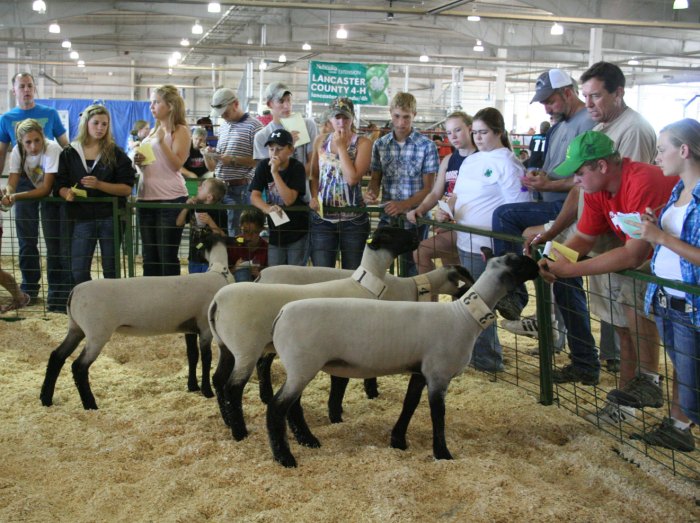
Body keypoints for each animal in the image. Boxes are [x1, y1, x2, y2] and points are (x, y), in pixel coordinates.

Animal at [40, 235, 232, 412]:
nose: (191, 257)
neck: (218, 272)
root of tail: (74, 291)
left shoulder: (190, 327)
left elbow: (192, 356)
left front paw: (192, 387)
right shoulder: (206, 328)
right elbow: (206, 359)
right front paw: (207, 391)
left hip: (76, 328)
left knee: (57, 356)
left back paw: (46, 399)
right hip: (97, 333)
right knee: (79, 366)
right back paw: (90, 405)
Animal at [209, 227, 426, 440]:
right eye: (390, 233)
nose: (416, 238)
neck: (364, 286)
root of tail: (217, 302)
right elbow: (341, 382)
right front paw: (338, 414)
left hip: (227, 346)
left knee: (220, 378)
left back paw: (228, 420)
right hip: (246, 349)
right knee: (233, 388)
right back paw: (240, 432)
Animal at [266, 252, 540, 468]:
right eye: (518, 261)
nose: (539, 265)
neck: (463, 316)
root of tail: (281, 313)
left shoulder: (421, 371)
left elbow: (409, 404)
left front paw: (398, 441)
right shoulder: (439, 374)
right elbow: (437, 415)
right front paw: (443, 454)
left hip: (300, 368)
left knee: (292, 406)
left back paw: (307, 440)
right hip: (303, 366)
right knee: (277, 407)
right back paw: (285, 457)